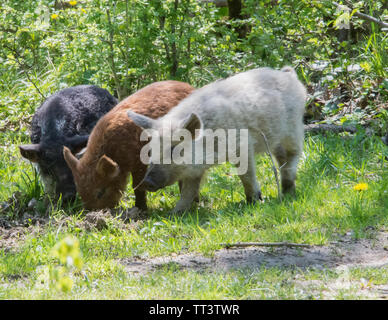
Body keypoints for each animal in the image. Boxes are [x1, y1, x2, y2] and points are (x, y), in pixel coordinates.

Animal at [63, 80, 194, 210]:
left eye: (100, 193)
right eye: (81, 193)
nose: (92, 212)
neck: (115, 151)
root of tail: (189, 86)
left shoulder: (139, 161)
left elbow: (137, 185)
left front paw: (140, 209)